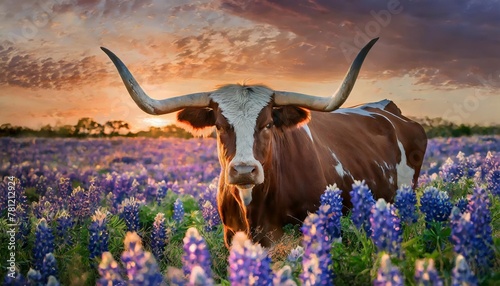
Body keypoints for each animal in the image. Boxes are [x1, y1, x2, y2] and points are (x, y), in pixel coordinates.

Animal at [100, 38, 426, 247]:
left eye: (268, 124)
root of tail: (390, 111)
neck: (253, 209)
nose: (244, 171)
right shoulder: (233, 235)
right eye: (219, 126)